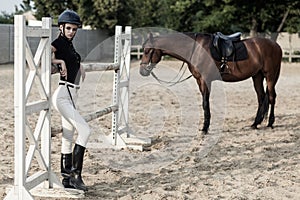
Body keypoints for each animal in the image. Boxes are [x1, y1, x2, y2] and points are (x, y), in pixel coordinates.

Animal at [140, 32, 282, 134]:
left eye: (147, 51)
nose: (142, 71)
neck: (195, 49)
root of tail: (276, 45)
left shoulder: (205, 80)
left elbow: (205, 103)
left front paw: (205, 128)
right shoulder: (199, 81)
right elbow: (204, 103)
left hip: (270, 76)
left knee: (271, 97)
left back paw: (270, 123)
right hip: (257, 76)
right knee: (261, 98)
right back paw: (255, 123)